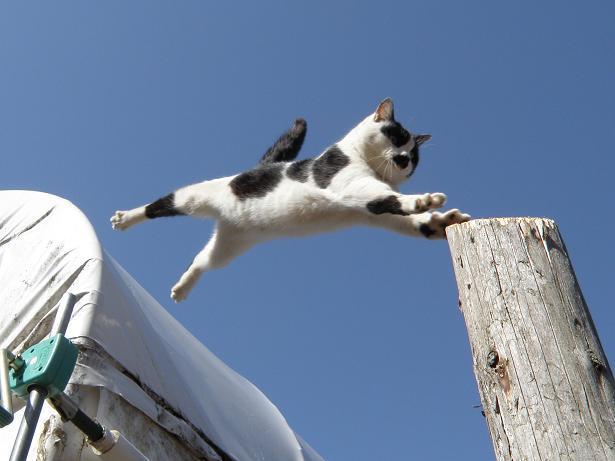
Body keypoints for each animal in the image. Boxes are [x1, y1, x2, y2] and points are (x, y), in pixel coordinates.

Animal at [110, 99, 472, 302]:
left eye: (415, 156)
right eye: (396, 137)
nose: (403, 160)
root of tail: (258, 168)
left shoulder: (373, 212)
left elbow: (401, 214)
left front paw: (439, 222)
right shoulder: (349, 184)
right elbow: (393, 198)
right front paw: (423, 201)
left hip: (229, 245)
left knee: (200, 261)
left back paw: (181, 289)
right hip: (194, 197)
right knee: (159, 205)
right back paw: (124, 218)